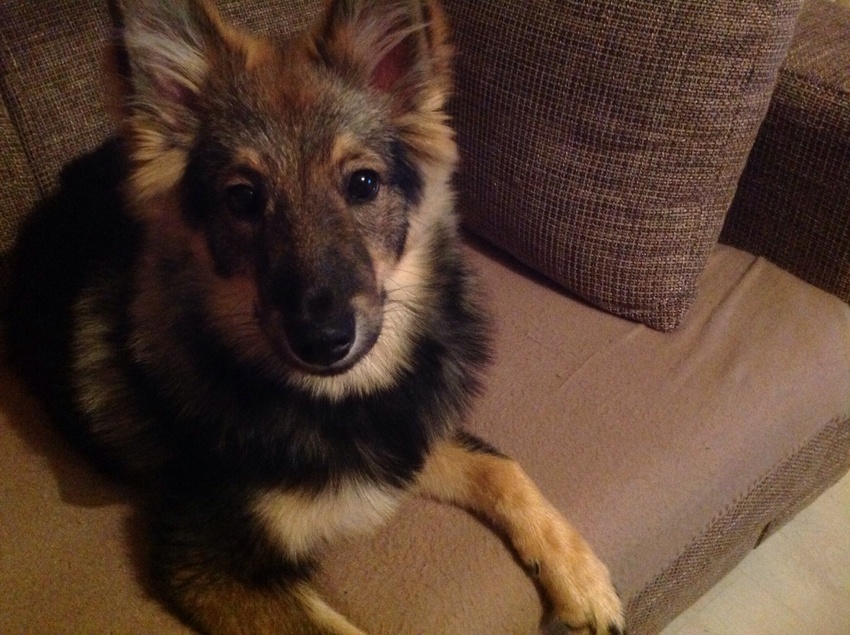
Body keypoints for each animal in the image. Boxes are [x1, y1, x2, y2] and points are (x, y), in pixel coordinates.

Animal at [8, 0, 625, 633]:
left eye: (363, 183)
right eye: (243, 198)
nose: (323, 340)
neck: (336, 398)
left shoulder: (403, 438)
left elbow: (502, 468)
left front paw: (582, 578)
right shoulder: (209, 562)